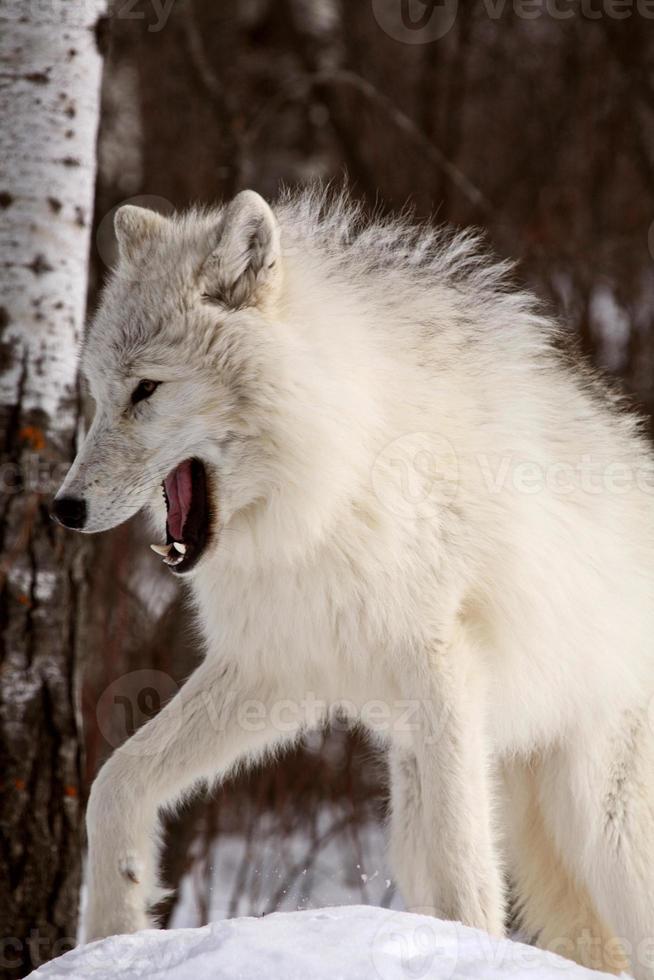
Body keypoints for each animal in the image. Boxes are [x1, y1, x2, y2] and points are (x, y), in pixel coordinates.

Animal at [56, 188, 654, 976]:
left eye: (146, 390)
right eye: (97, 394)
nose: (62, 508)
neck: (329, 490)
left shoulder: (441, 668)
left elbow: (465, 874)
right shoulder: (276, 669)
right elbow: (114, 783)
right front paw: (113, 932)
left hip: (602, 826)